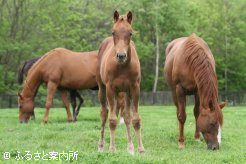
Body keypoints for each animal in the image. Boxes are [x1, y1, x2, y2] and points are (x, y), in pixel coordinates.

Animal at [96, 10, 144, 154]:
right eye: (113, 32)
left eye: (130, 33)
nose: (121, 56)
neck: (122, 67)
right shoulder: (110, 88)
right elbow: (112, 120)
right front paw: (112, 149)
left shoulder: (134, 88)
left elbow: (135, 119)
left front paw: (140, 149)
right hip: (103, 89)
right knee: (104, 113)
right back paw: (101, 145)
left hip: (124, 92)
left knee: (126, 115)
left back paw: (130, 147)